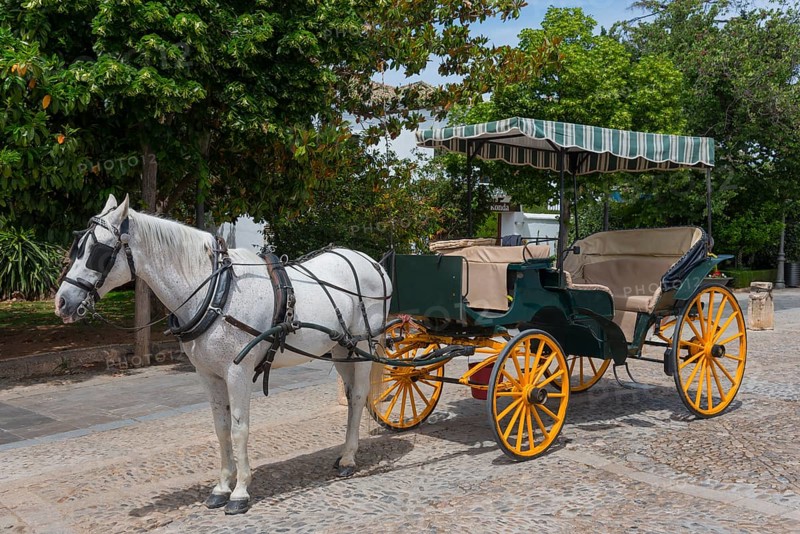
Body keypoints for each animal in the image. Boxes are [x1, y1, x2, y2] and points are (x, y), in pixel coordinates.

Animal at [55, 194, 392, 515]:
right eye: (77, 247)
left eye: (98, 252)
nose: (61, 302)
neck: (217, 292)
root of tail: (373, 263)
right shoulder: (208, 374)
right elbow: (221, 428)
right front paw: (221, 487)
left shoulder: (237, 372)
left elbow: (240, 428)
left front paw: (240, 492)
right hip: (341, 348)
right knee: (350, 394)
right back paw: (344, 452)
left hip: (364, 345)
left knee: (359, 395)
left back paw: (349, 459)